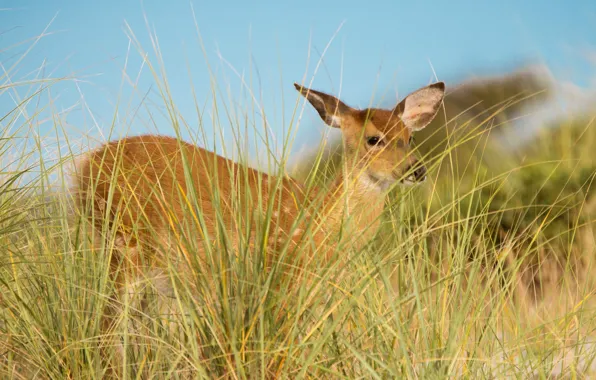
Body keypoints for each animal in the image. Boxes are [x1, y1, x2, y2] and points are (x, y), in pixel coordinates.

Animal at [71, 79, 442, 320]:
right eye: (374, 139)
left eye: (409, 137)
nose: (417, 170)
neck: (319, 221)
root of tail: (84, 172)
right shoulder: (280, 278)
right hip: (128, 245)